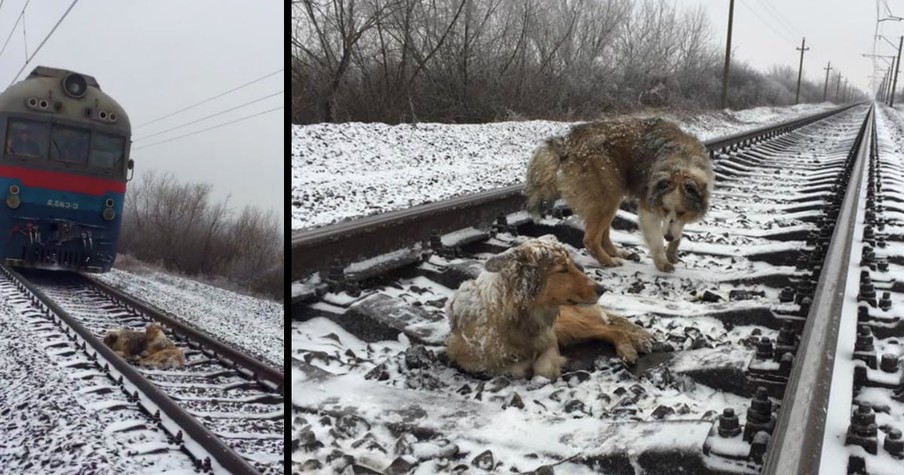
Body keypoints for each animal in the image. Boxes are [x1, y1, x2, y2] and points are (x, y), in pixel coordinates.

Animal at [446, 236, 652, 382]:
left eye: (572, 266)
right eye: (562, 270)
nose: (602, 289)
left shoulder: (550, 339)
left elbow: (542, 369)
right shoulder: (469, 360)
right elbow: (512, 368)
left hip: (570, 325)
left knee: (613, 329)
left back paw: (631, 347)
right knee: (609, 328)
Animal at [524, 116, 712, 272]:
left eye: (682, 212)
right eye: (664, 210)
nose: (668, 236)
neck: (682, 162)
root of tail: (567, 141)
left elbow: (678, 231)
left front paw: (672, 251)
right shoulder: (648, 206)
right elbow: (656, 240)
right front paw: (662, 261)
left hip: (611, 195)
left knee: (604, 235)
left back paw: (619, 253)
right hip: (608, 195)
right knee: (590, 239)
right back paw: (608, 261)